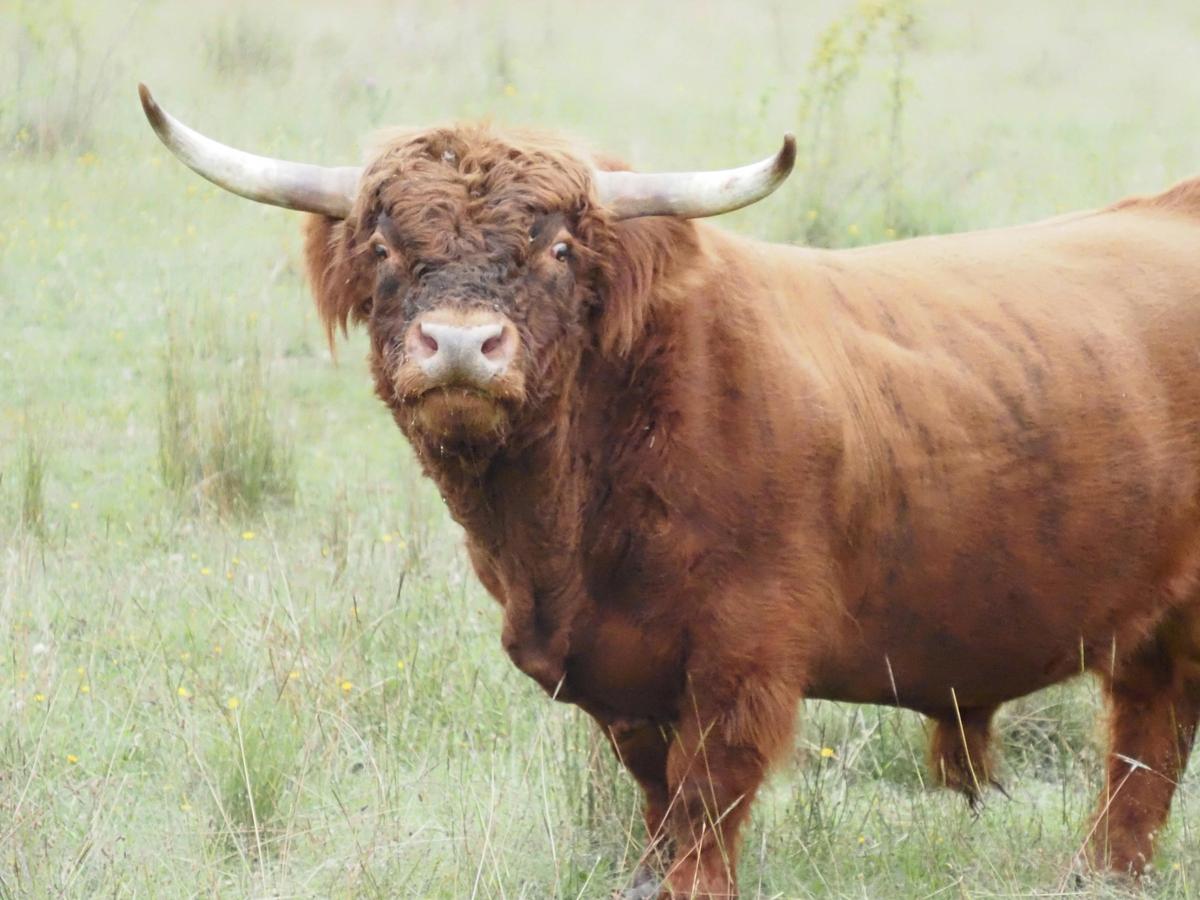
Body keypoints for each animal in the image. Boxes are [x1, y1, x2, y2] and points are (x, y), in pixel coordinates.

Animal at [140, 82, 1200, 896]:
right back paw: (1102, 874)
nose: (461, 345)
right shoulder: (622, 678)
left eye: (558, 250)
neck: (559, 543)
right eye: (386, 249)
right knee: (1143, 738)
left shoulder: (745, 657)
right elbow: (656, 799)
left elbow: (704, 804)